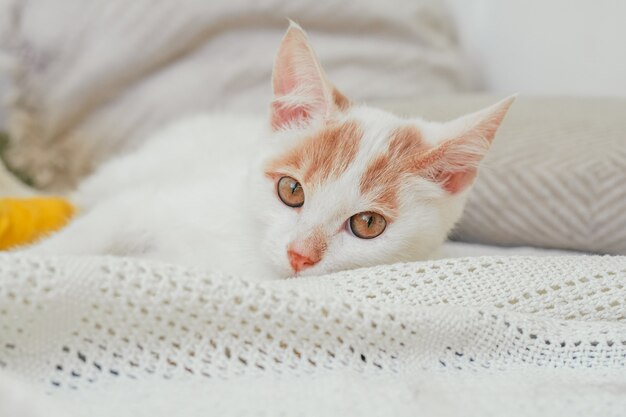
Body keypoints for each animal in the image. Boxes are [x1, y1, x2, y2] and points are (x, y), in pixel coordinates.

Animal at [24, 21, 512, 278]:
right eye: (291, 191)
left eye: (368, 224)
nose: (300, 256)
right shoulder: (146, 204)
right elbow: (94, 232)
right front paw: (27, 263)